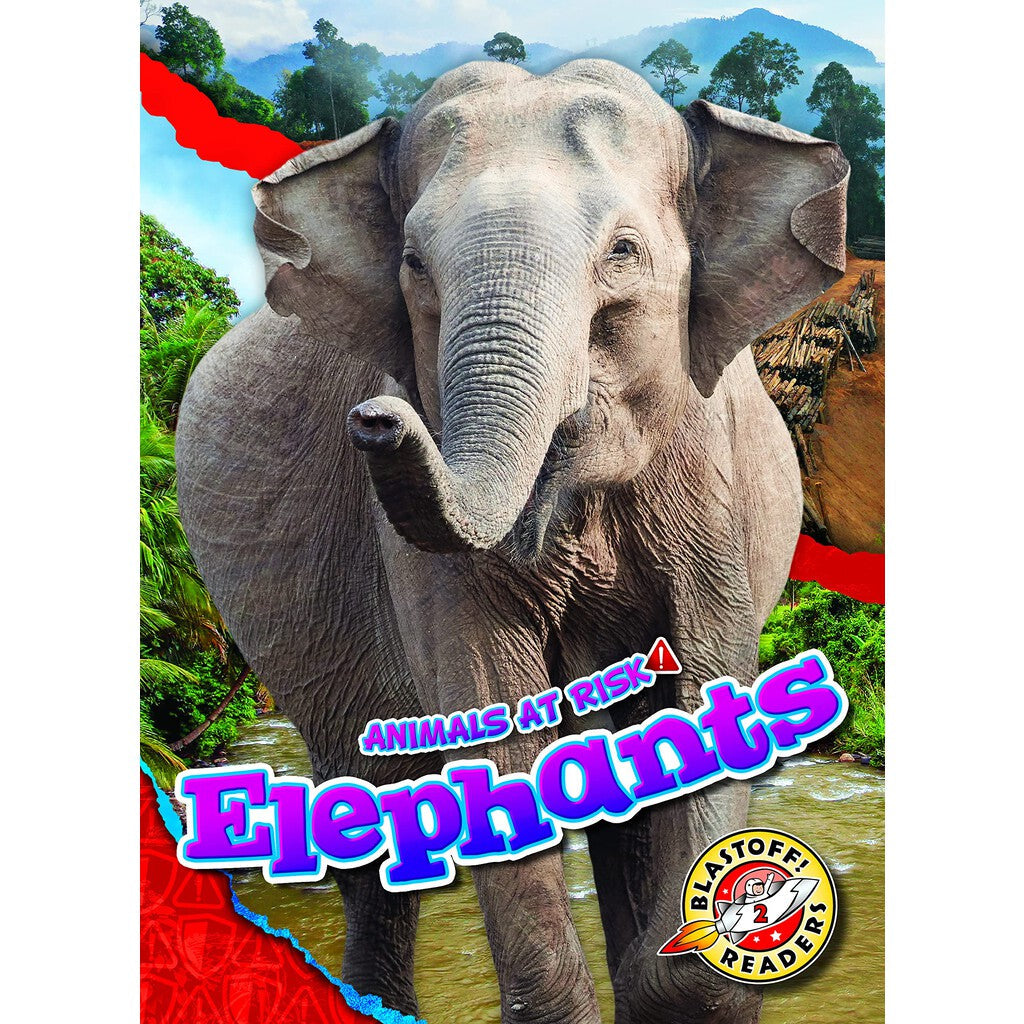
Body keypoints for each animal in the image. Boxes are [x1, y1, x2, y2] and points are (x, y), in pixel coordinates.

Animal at [176, 59, 848, 1024]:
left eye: (623, 252)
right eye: (413, 264)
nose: (376, 420)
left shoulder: (707, 478)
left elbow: (706, 688)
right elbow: (489, 703)